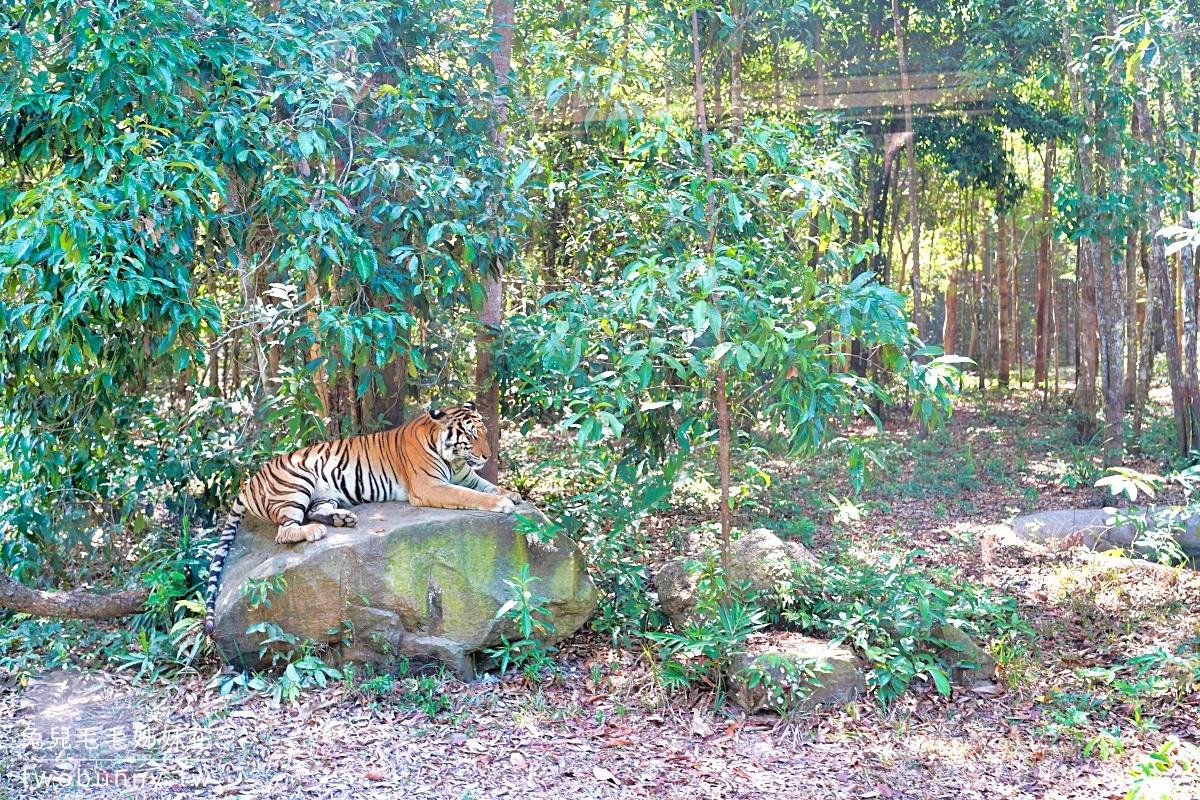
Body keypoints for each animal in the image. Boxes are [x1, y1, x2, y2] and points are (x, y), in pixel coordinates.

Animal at [202, 402, 520, 633]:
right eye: (471, 436)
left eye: (484, 433)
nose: (487, 456)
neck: (454, 460)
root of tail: (248, 483)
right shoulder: (429, 485)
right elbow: (472, 496)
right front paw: (503, 502)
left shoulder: (467, 477)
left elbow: (487, 486)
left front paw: (512, 494)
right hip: (297, 482)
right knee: (286, 530)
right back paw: (314, 531)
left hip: (322, 494)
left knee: (315, 511)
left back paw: (343, 520)